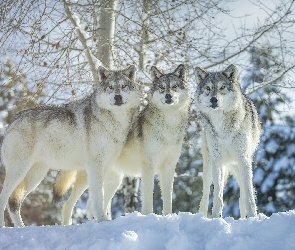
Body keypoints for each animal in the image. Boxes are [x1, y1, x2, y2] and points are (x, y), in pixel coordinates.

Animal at [0, 64, 142, 227]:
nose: (117, 97)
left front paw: (102, 220)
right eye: (110, 87)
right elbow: (98, 196)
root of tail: (14, 119)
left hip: (35, 176)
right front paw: (101, 220)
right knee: (3, 198)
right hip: (19, 171)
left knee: (14, 203)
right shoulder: (95, 165)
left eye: (124, 86)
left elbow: (98, 196)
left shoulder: (104, 166)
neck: (114, 122)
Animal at [53, 64, 192, 225]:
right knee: (69, 204)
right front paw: (149, 217)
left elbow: (168, 200)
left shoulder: (169, 168)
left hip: (112, 181)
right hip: (91, 178)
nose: (168, 96)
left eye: (174, 86)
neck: (169, 126)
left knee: (91, 205)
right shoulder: (148, 167)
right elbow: (148, 199)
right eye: (162, 87)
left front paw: (168, 217)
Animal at [197, 65, 262, 219]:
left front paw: (253, 217)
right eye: (208, 88)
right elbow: (217, 195)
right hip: (209, 167)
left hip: (241, 167)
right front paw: (216, 217)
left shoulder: (243, 159)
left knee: (243, 193)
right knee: (206, 194)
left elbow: (248, 196)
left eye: (222, 87)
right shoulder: (218, 161)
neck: (222, 126)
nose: (213, 100)